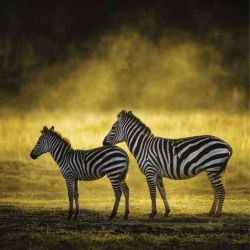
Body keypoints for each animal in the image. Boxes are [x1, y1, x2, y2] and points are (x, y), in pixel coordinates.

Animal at [103, 110, 232, 218]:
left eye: (113, 127)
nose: (103, 143)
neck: (143, 147)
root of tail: (226, 143)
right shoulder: (158, 174)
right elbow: (163, 192)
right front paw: (167, 212)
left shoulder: (150, 171)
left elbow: (152, 193)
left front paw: (152, 213)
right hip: (213, 170)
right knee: (216, 190)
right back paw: (211, 212)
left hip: (213, 168)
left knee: (221, 190)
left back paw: (218, 214)